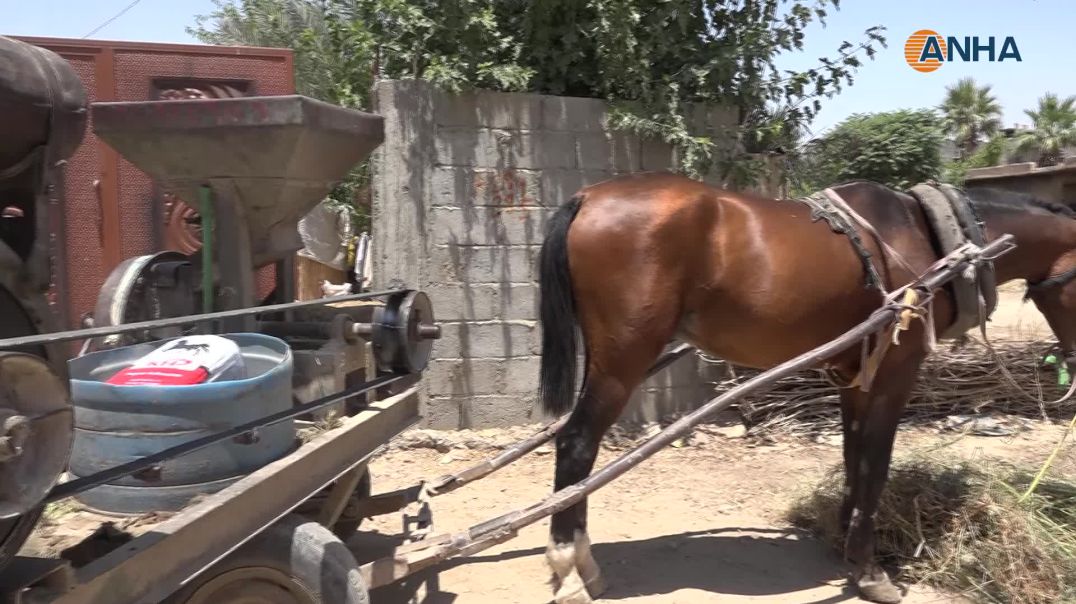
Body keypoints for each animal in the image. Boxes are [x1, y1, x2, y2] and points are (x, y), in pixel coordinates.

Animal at [535, 172, 1076, 598]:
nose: (1071, 361)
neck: (930, 235)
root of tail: (588, 196)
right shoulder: (896, 372)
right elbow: (876, 465)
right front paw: (871, 570)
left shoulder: (856, 373)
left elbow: (854, 457)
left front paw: (847, 546)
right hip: (624, 358)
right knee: (577, 444)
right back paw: (570, 567)